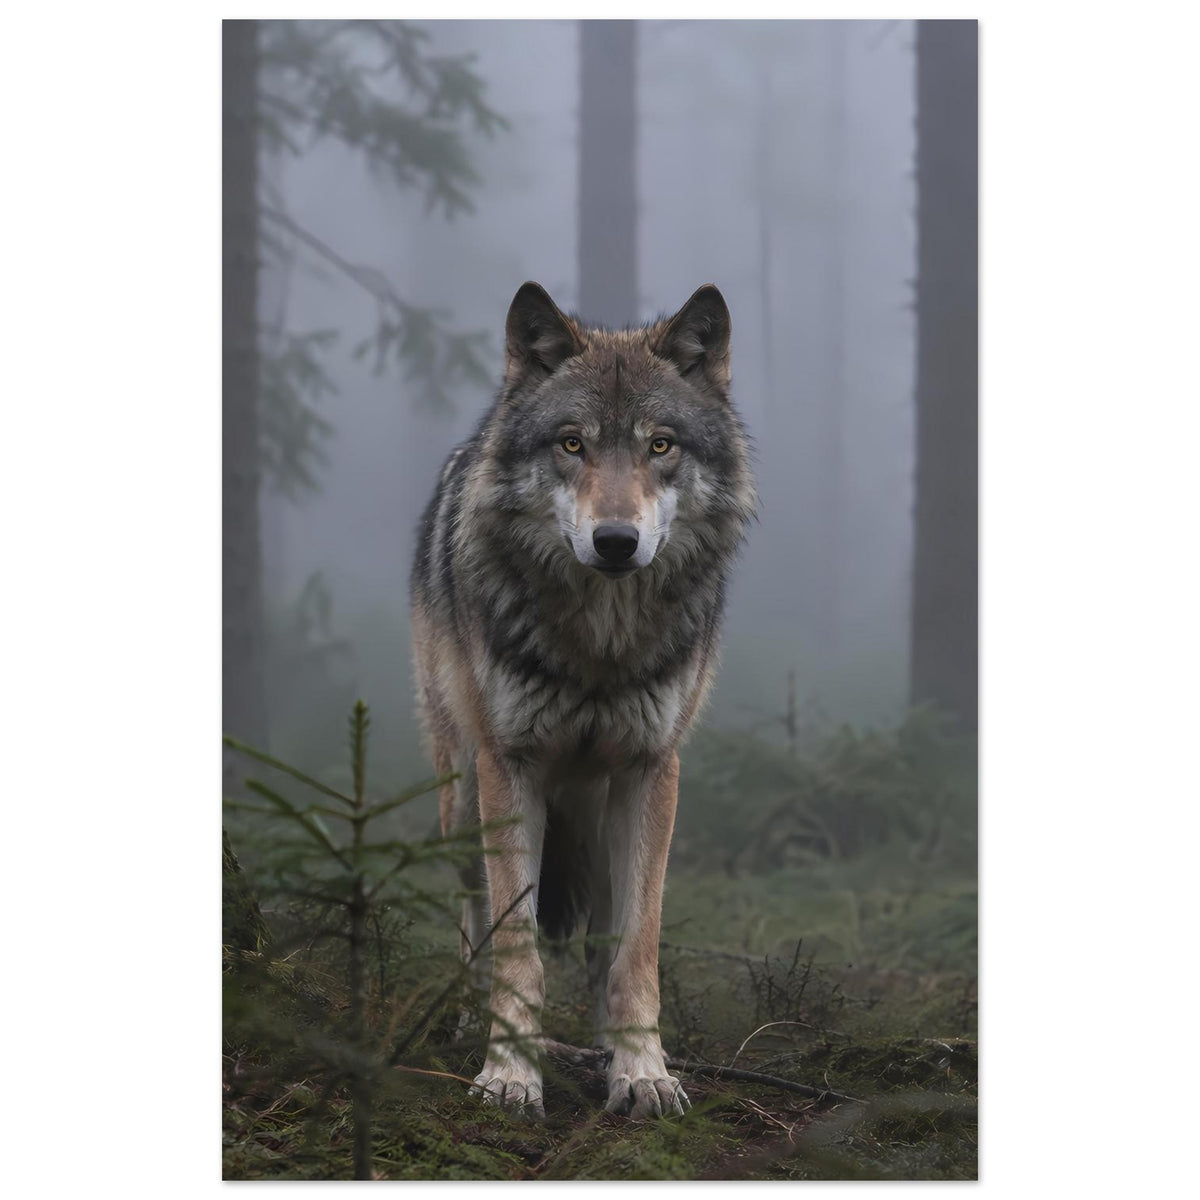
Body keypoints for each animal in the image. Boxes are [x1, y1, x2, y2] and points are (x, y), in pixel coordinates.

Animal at [410, 281, 754, 1120]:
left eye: (661, 446)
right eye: (572, 445)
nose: (616, 541)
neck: (600, 645)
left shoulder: (651, 771)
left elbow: (636, 950)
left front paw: (643, 1071)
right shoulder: (511, 767)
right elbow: (517, 947)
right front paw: (508, 1075)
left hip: (597, 816)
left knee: (602, 938)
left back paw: (604, 1047)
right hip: (462, 799)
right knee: (473, 919)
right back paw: (464, 1022)